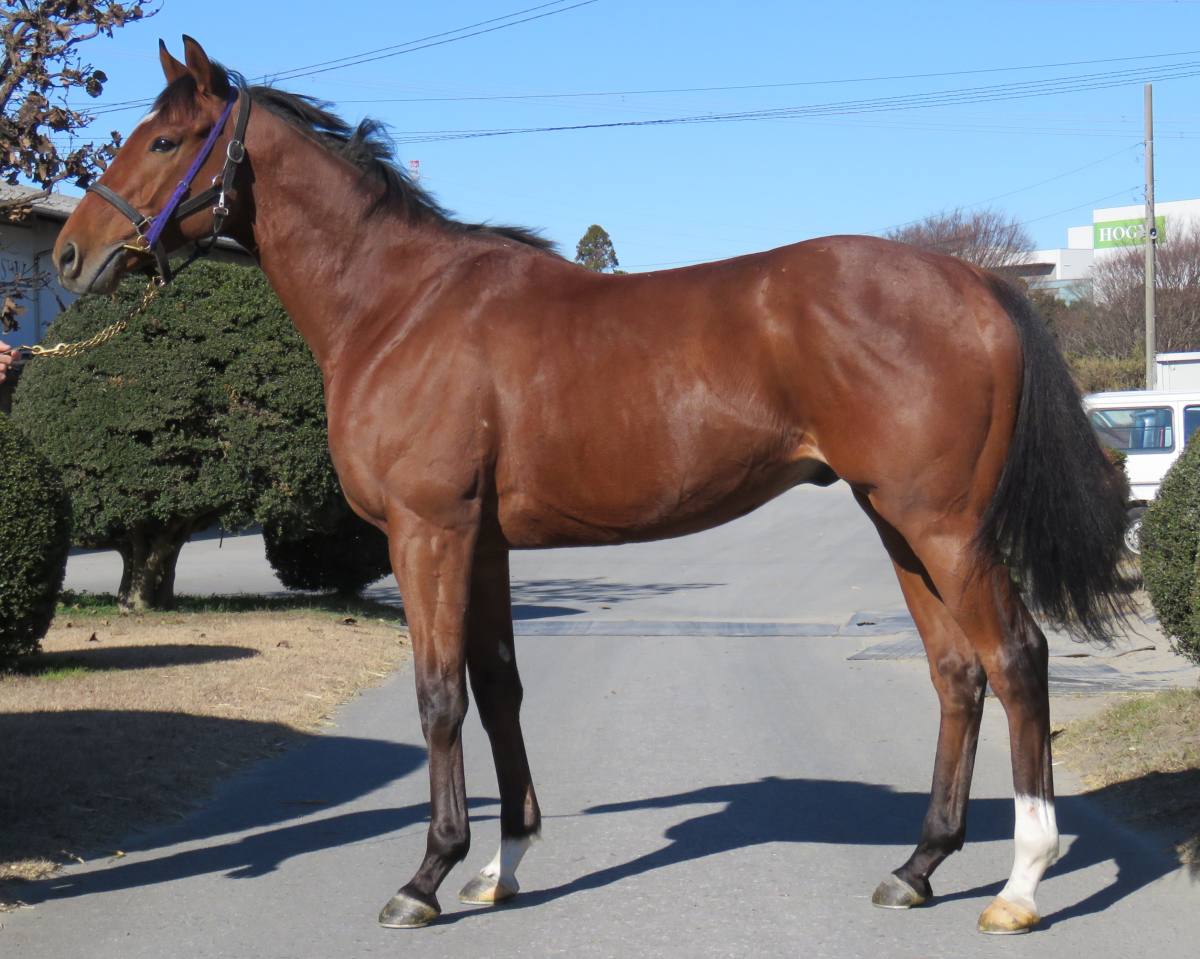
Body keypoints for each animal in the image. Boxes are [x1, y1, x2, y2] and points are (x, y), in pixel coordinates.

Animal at [53, 37, 1131, 935]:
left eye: (165, 139)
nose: (70, 253)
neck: (400, 305)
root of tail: (979, 283)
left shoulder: (428, 532)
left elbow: (438, 694)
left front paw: (425, 877)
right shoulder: (483, 543)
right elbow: (499, 690)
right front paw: (501, 866)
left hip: (944, 526)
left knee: (1017, 657)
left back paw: (1022, 882)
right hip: (899, 523)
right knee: (957, 673)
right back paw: (917, 865)